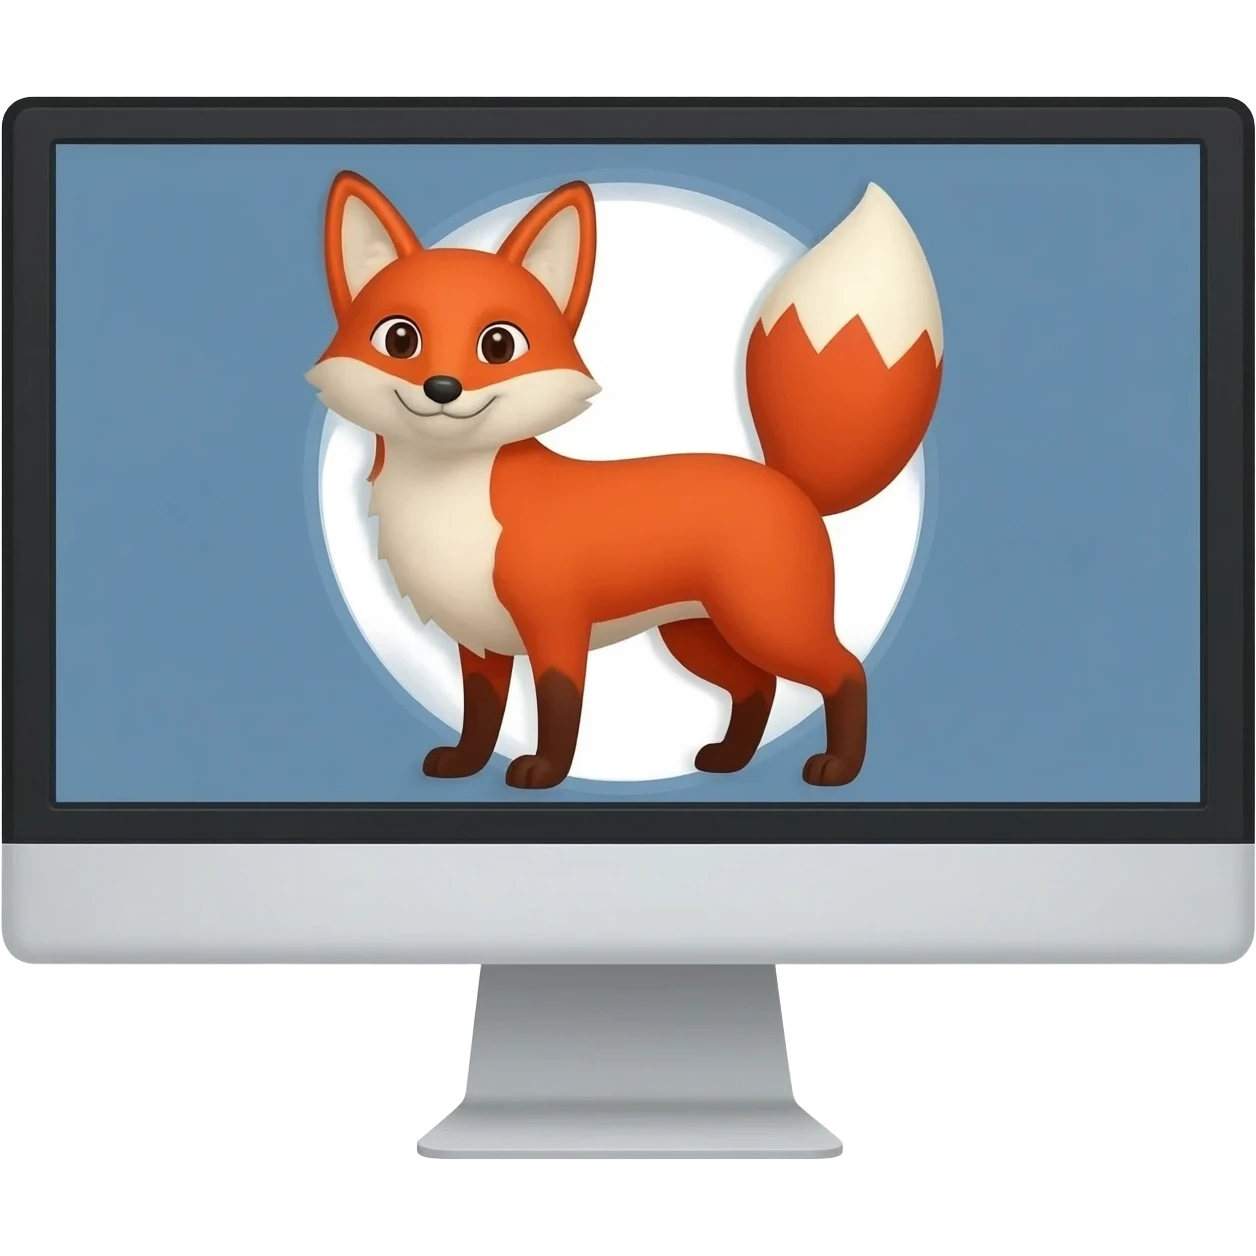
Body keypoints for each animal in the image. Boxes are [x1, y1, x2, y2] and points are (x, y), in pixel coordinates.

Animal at [307, 172, 943, 790]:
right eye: (399, 339)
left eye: (498, 343)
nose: (442, 387)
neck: (448, 498)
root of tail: (785, 480)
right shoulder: (478, 641)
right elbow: (481, 714)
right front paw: (463, 765)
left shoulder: (556, 627)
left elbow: (559, 708)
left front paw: (543, 773)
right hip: (697, 635)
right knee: (757, 686)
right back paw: (730, 760)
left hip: (767, 623)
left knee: (844, 670)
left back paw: (839, 768)